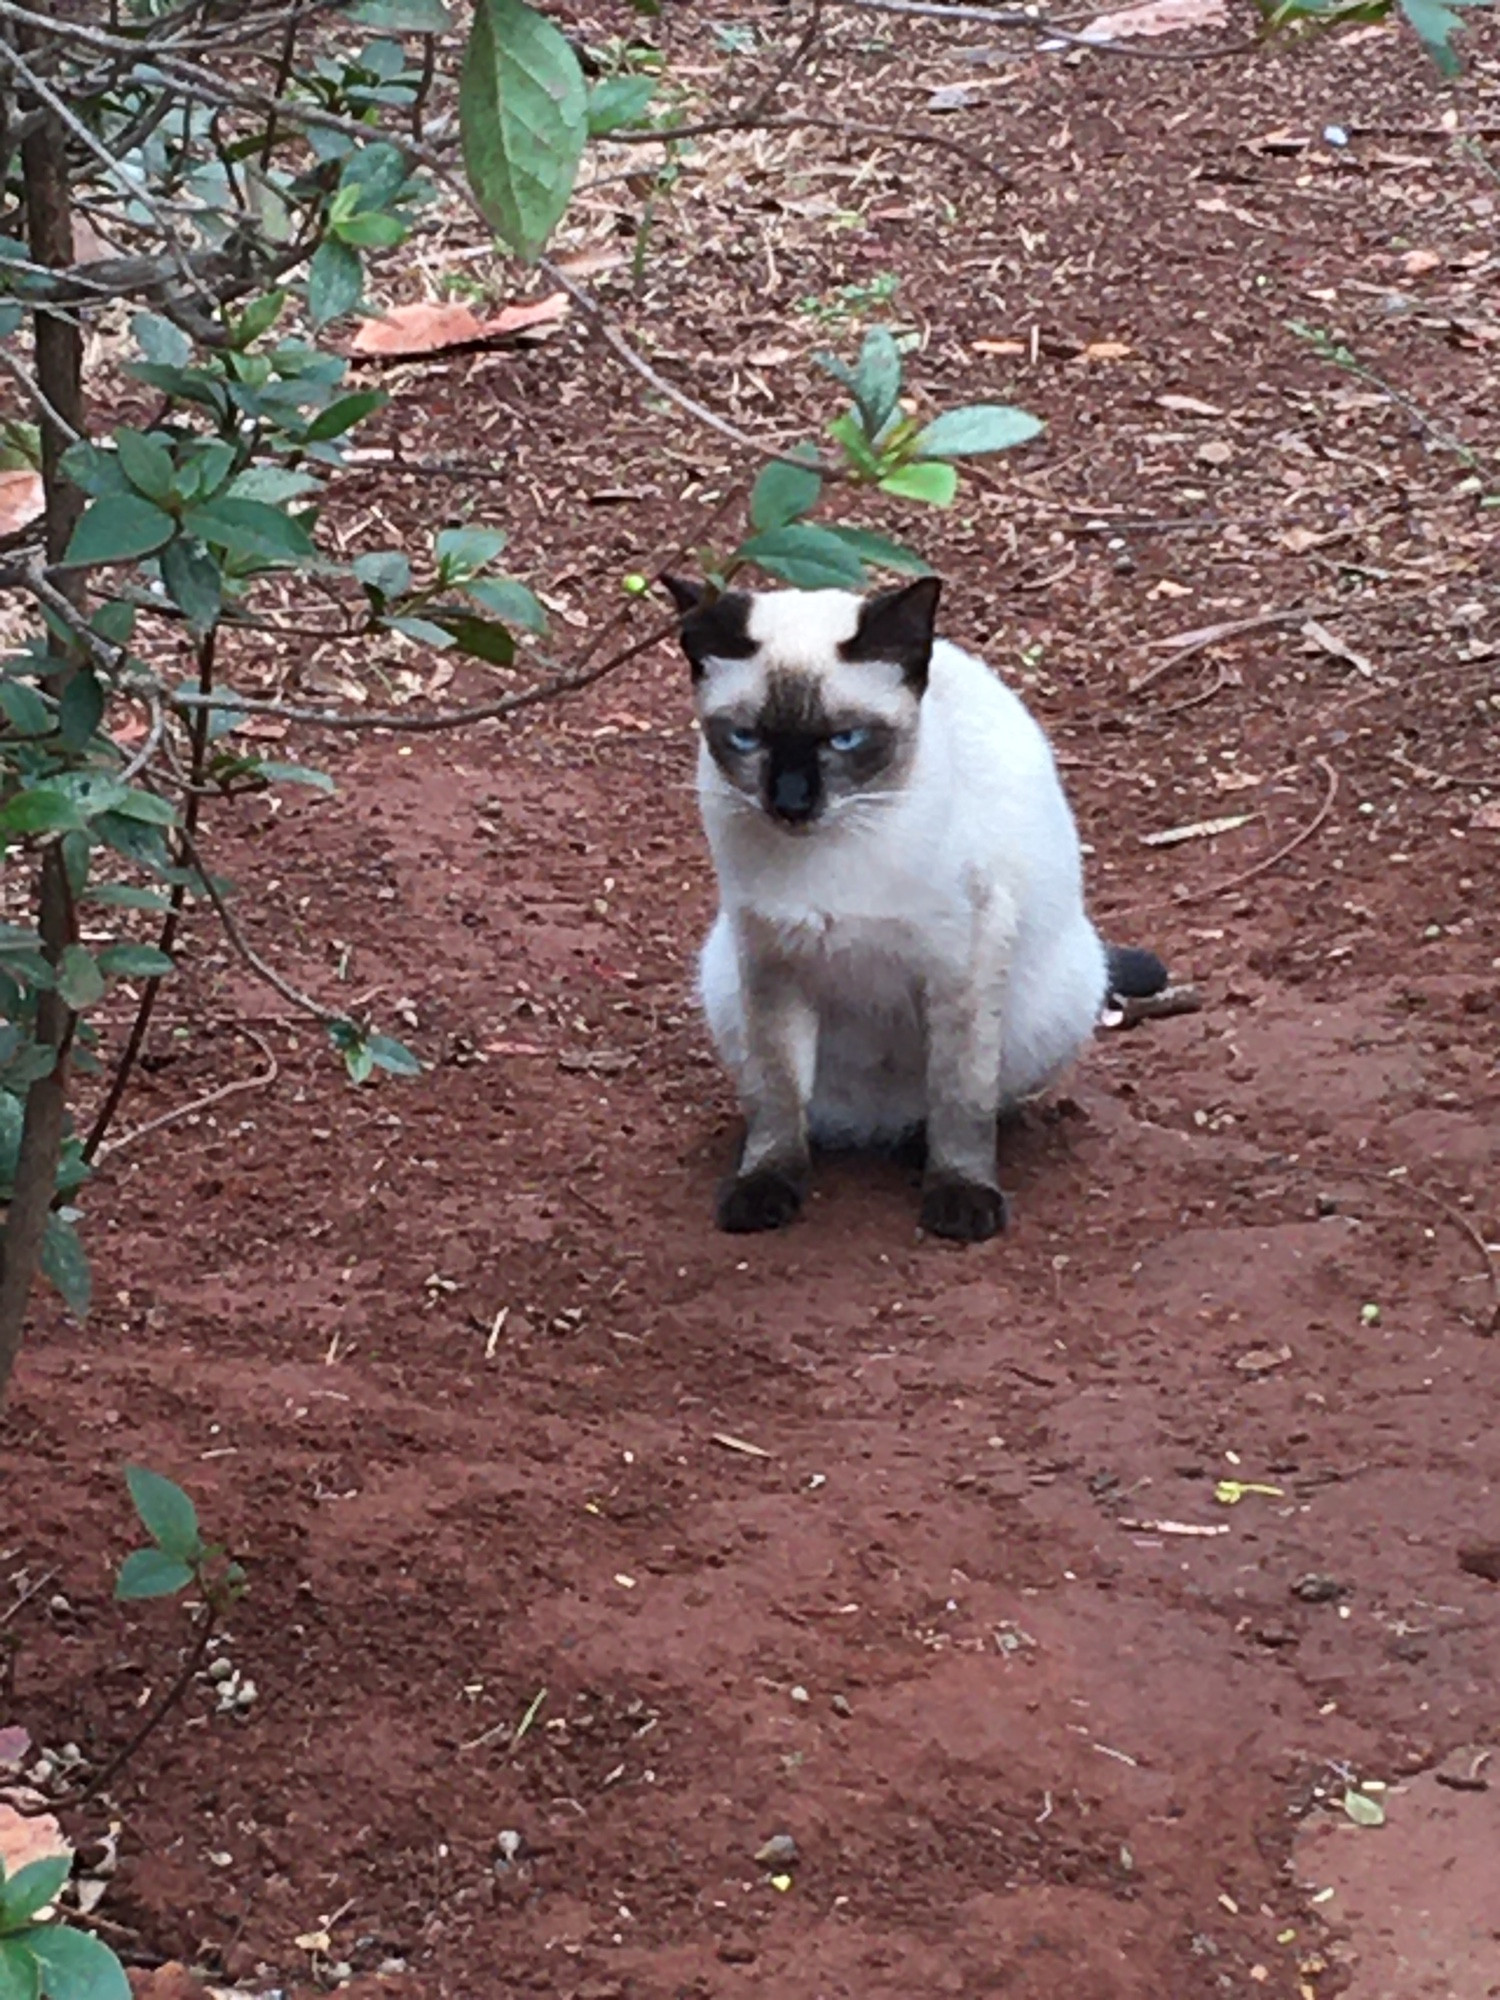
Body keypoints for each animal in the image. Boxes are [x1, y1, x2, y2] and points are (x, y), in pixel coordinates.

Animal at [672, 572, 1176, 1240]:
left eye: (844, 739)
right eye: (746, 738)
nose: (791, 803)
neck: (834, 855)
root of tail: (874, 1125)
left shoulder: (961, 962)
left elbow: (960, 1095)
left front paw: (960, 1200)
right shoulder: (774, 961)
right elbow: (778, 1096)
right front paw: (766, 1187)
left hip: (1053, 998)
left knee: (968, 1102)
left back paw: (920, 1148)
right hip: (725, 976)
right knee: (792, 1106)